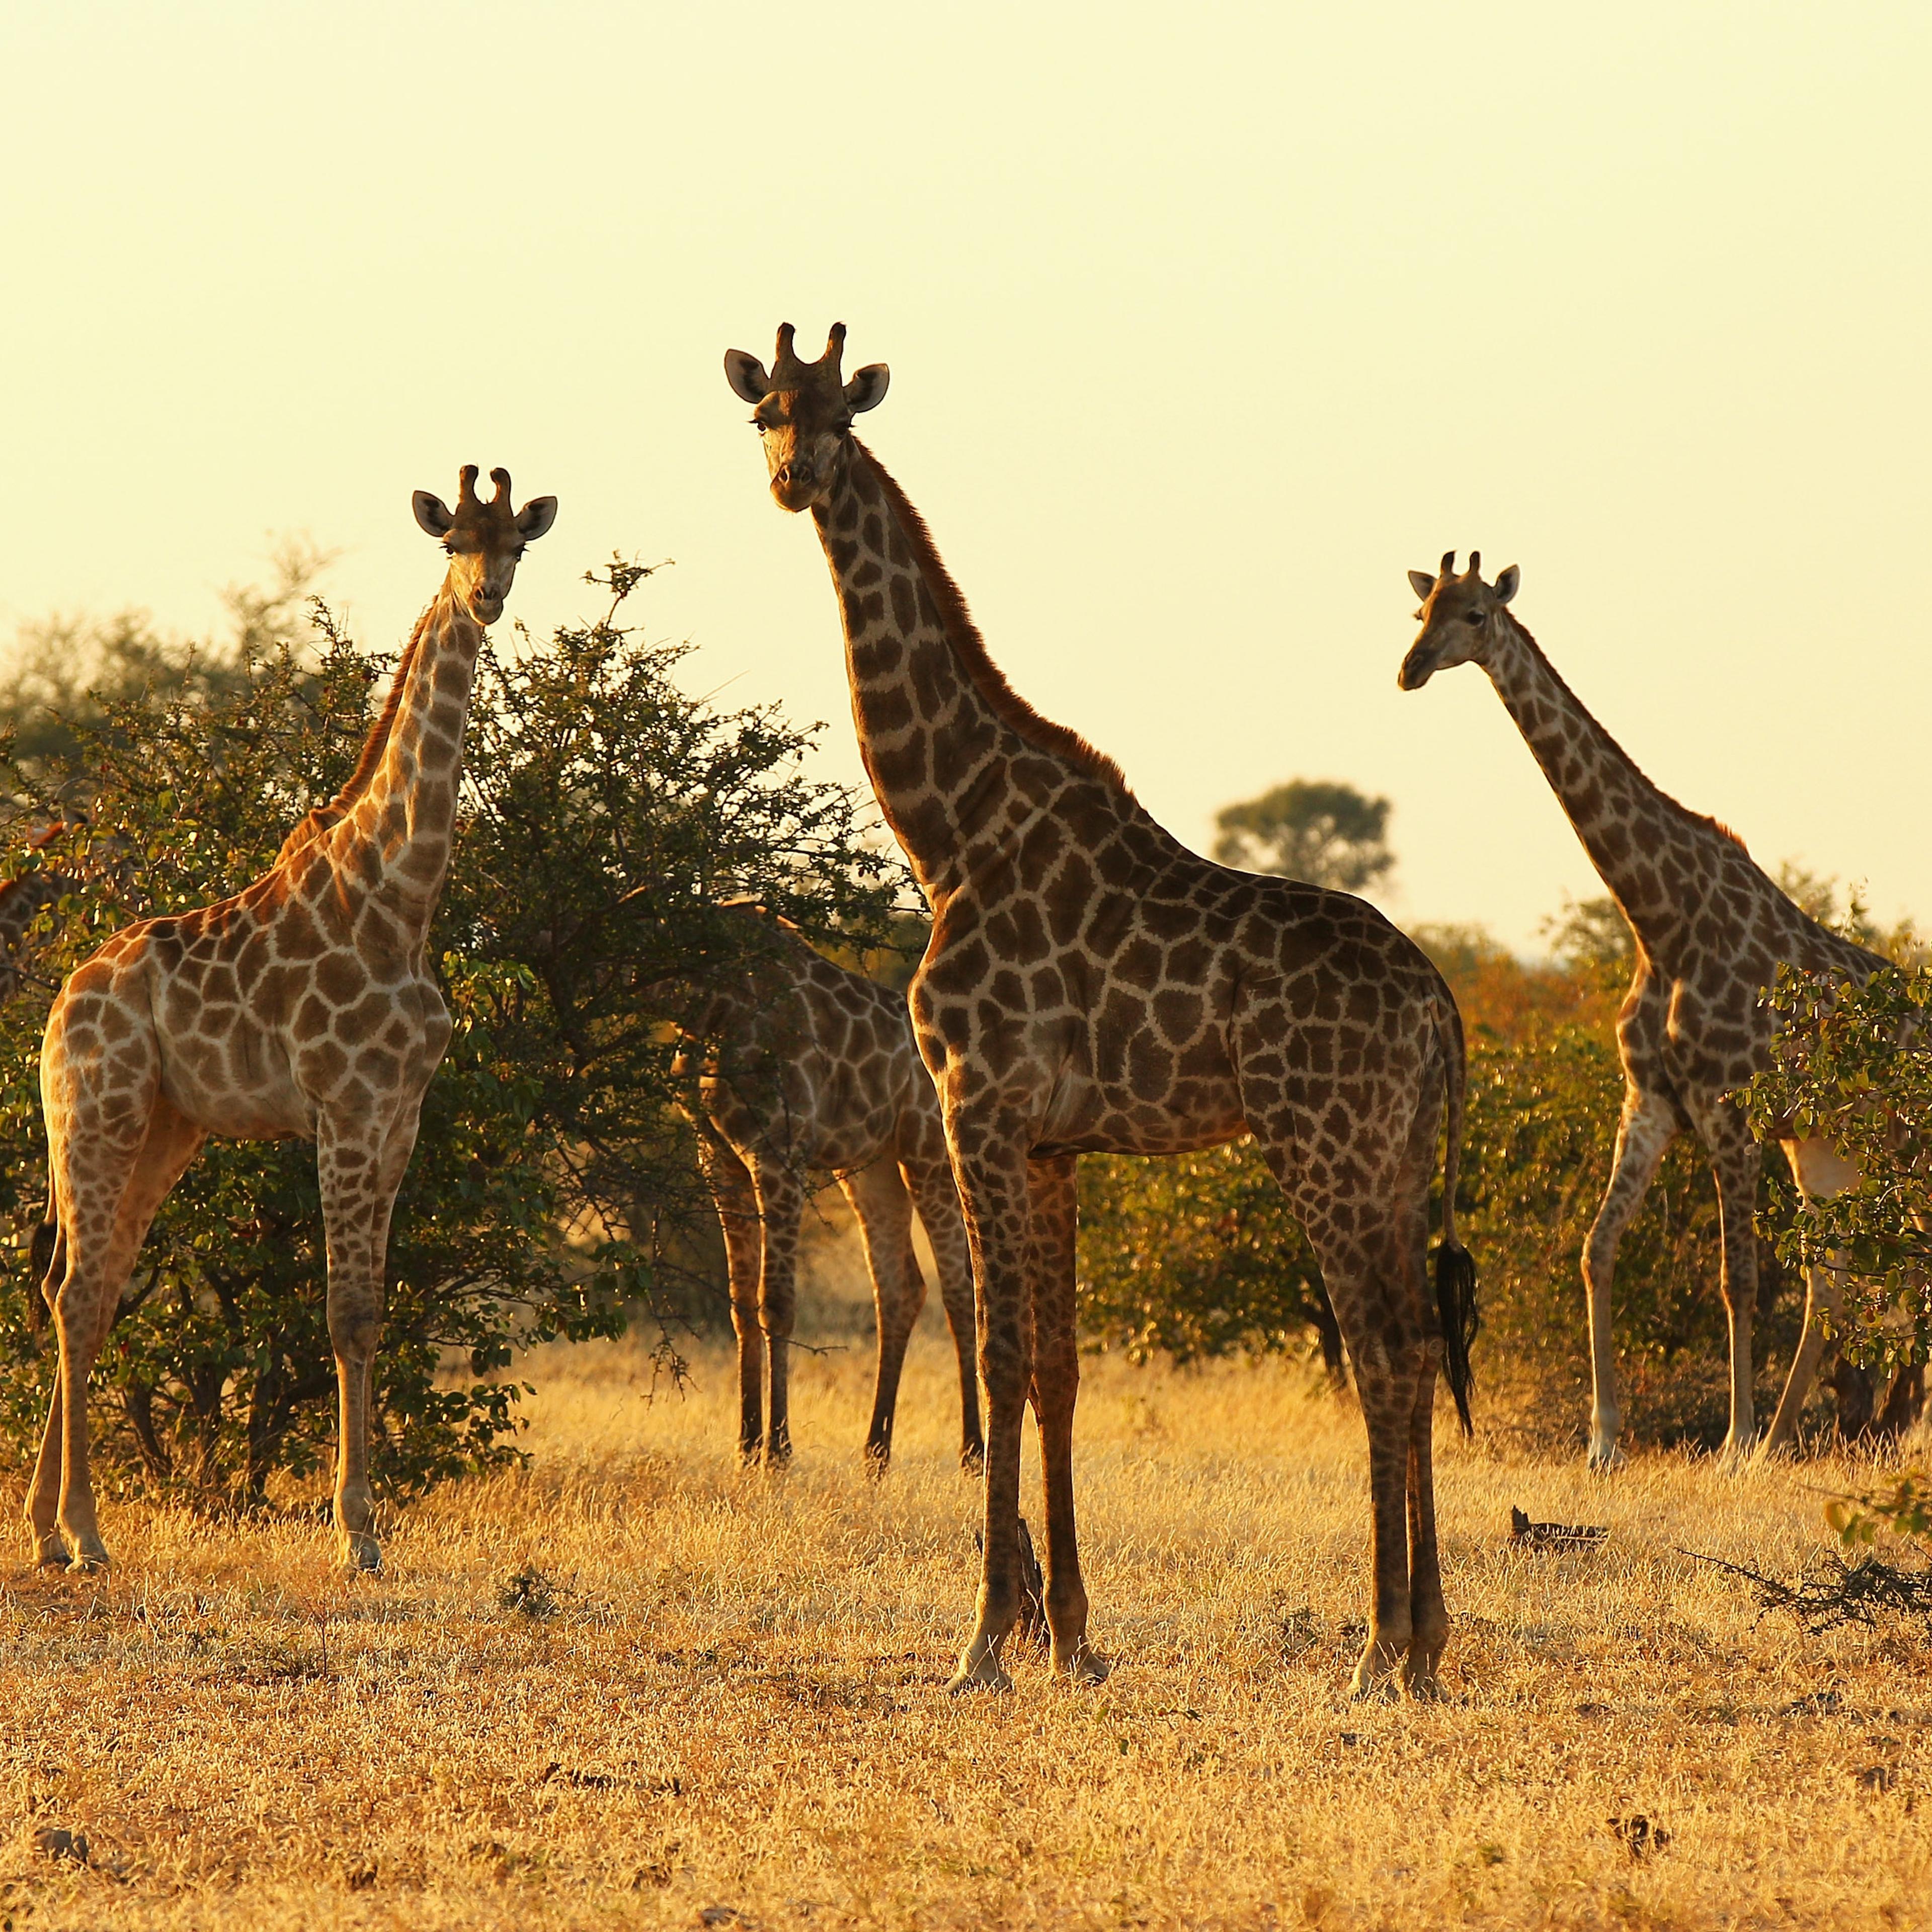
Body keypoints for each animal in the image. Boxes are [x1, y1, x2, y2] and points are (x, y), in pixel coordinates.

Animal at [24, 465, 556, 1574]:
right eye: (453, 543)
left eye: (518, 545)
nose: (488, 598)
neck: (402, 895)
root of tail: (57, 1005)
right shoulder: (346, 1106)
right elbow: (345, 1313)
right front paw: (356, 1535)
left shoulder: (400, 1115)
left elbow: (374, 1312)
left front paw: (367, 1526)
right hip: (97, 1114)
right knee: (77, 1290)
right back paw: (85, 1535)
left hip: (164, 1129)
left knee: (89, 1288)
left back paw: (50, 1531)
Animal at [676, 900, 984, 1468]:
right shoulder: (716, 1154)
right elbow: (739, 1302)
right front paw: (746, 1445)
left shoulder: (778, 1150)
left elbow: (776, 1302)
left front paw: (778, 1449)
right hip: (872, 1167)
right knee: (901, 1287)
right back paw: (876, 1451)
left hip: (927, 1155)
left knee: (958, 1286)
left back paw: (973, 1449)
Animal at [726, 325, 1477, 1699]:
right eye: (764, 413)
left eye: (839, 416)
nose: (795, 479)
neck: (948, 831)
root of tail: (1440, 1009)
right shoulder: (1054, 1144)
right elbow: (1062, 1370)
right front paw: (1071, 1633)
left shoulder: (976, 1105)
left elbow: (998, 1357)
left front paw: (982, 1642)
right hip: (1394, 1157)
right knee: (1410, 1342)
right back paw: (1426, 1643)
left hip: (1323, 1146)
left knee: (1386, 1355)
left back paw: (1379, 1648)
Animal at [1399, 553, 1904, 1464]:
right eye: (1419, 612)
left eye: (1477, 615)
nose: (1411, 669)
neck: (1660, 920)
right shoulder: (1652, 1100)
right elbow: (1596, 1250)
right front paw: (1604, 1442)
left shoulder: (1727, 1105)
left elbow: (1737, 1279)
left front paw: (1734, 1441)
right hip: (1829, 1151)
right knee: (1835, 1285)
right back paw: (1788, 1437)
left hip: (1896, 1145)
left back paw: (1800, 1436)